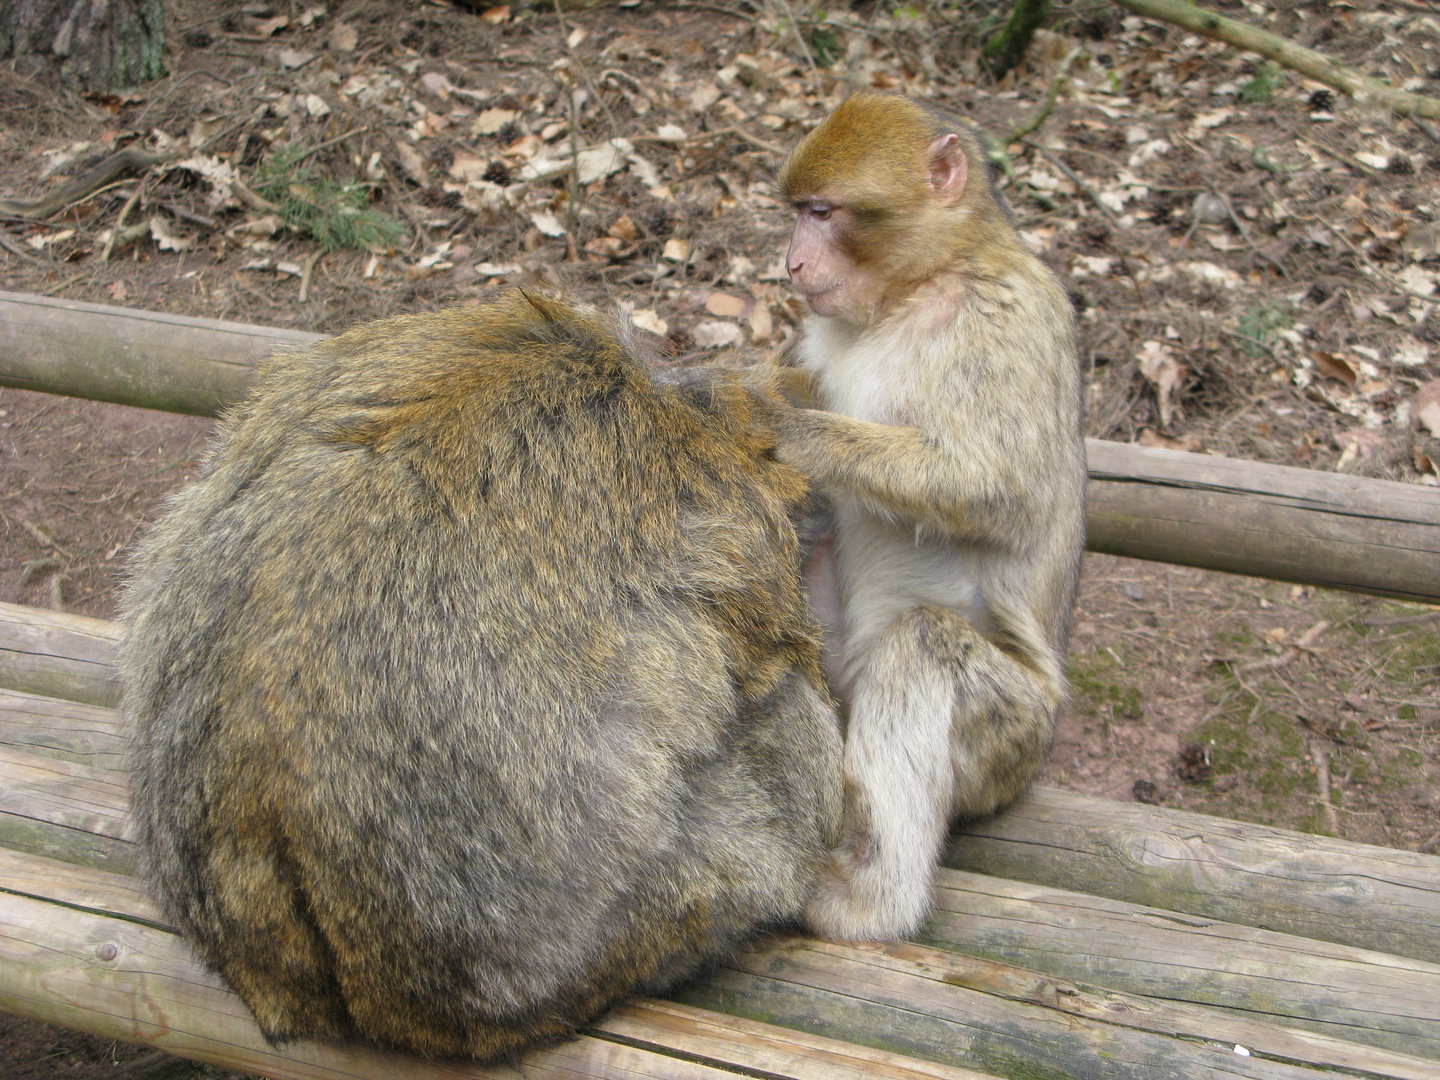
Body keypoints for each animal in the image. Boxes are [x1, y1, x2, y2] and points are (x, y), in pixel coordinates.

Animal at [760, 91, 1082, 938]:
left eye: (822, 212)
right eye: (797, 213)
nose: (791, 263)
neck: (916, 287)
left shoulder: (1003, 319)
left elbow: (996, 490)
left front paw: (790, 429)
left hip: (1008, 739)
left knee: (924, 644)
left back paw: (867, 899)